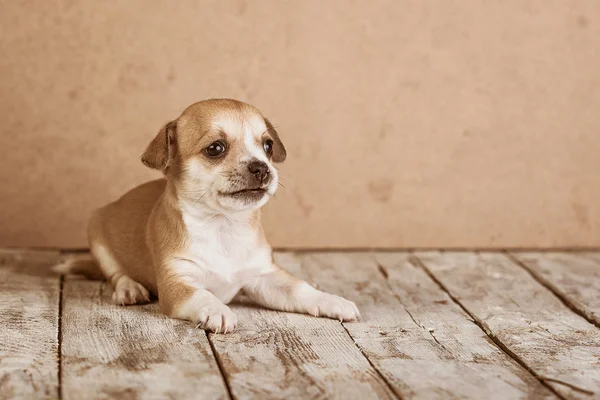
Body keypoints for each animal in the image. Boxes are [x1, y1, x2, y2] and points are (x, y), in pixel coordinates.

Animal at [56, 98, 358, 332]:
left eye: (268, 146)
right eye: (216, 148)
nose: (262, 168)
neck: (223, 225)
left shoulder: (266, 277)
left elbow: (300, 289)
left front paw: (332, 299)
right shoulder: (177, 285)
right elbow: (201, 293)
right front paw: (218, 309)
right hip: (97, 233)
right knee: (116, 273)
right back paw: (130, 288)